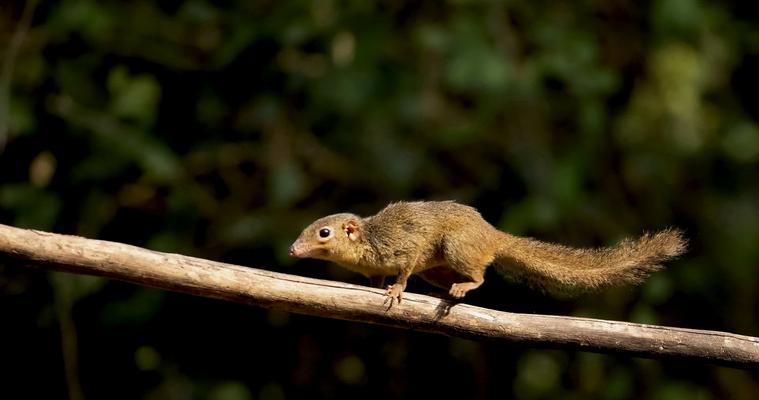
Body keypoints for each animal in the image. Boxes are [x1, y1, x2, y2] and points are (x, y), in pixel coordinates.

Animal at [288, 202, 684, 304]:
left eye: (323, 233)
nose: (292, 249)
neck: (368, 243)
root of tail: (493, 236)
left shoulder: (404, 247)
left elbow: (403, 270)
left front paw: (397, 290)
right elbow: (378, 278)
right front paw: (376, 288)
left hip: (456, 247)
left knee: (480, 276)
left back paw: (465, 287)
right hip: (439, 267)